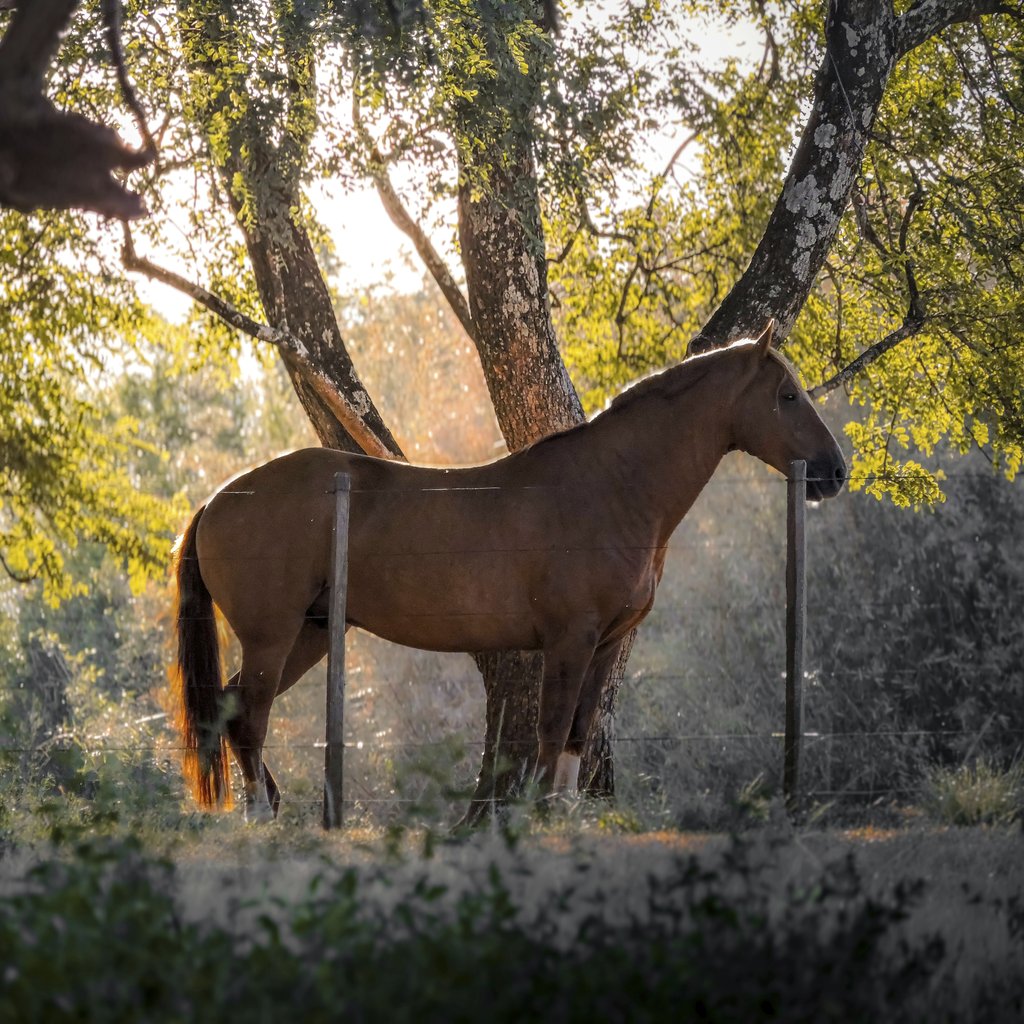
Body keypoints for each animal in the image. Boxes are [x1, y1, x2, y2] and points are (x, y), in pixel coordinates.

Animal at [172, 323, 846, 822]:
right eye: (788, 395)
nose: (835, 473)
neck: (612, 487)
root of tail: (219, 497)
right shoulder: (570, 639)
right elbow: (551, 728)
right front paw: (538, 816)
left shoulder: (606, 643)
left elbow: (577, 732)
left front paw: (563, 818)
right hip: (274, 635)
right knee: (252, 712)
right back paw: (261, 815)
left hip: (310, 634)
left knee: (232, 705)